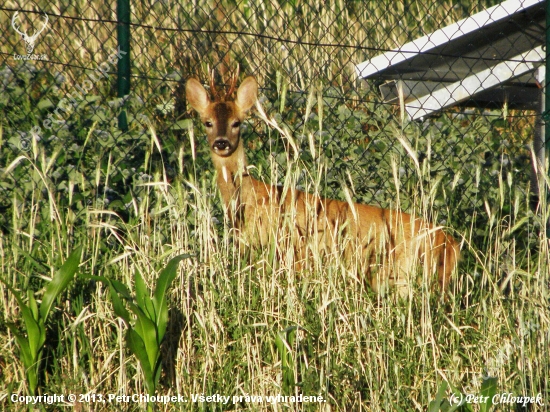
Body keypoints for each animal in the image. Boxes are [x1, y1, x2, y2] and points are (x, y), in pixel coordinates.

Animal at [187, 72, 462, 294]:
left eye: (237, 122)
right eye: (207, 122)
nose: (221, 142)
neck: (249, 198)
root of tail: (451, 245)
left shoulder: (288, 252)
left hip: (402, 277)